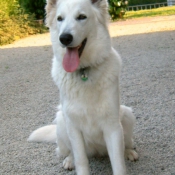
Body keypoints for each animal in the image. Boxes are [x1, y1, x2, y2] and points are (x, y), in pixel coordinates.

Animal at [28, 0, 139, 174]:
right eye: (60, 18)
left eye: (81, 17)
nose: (64, 38)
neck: (84, 72)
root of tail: (97, 152)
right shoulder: (74, 127)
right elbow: (81, 160)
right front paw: (76, 162)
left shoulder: (112, 127)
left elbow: (118, 164)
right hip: (62, 122)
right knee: (69, 152)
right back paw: (69, 160)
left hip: (127, 115)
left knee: (127, 144)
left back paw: (129, 152)